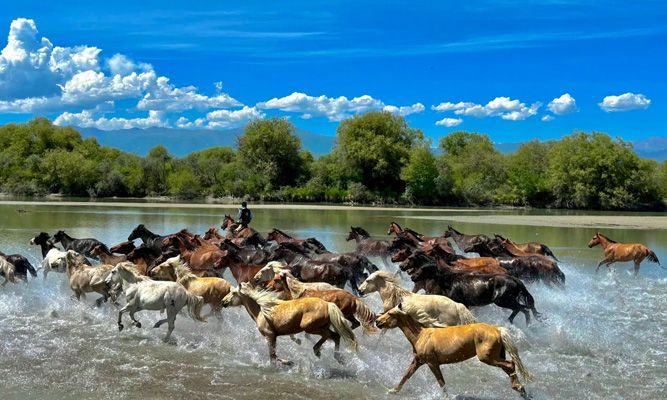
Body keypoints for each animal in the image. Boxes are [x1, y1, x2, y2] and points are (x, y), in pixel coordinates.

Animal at [221, 283, 357, 365]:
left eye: (234, 293)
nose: (223, 301)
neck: (262, 311)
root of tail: (328, 304)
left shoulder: (270, 335)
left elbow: (273, 355)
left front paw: (288, 362)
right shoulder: (273, 336)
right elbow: (273, 355)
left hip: (310, 328)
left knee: (331, 336)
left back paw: (323, 353)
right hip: (321, 327)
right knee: (335, 336)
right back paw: (331, 356)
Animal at [375, 304, 532, 397]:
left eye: (390, 314)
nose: (377, 322)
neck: (421, 336)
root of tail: (497, 329)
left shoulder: (432, 363)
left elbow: (441, 382)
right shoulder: (418, 361)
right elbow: (406, 375)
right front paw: (393, 391)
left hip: (487, 357)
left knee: (510, 364)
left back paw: (519, 388)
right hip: (496, 356)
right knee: (509, 367)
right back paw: (521, 390)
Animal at [405, 261, 541, 325]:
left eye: (422, 269)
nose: (412, 277)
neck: (448, 280)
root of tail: (516, 280)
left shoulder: (462, 303)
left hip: (502, 300)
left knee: (523, 309)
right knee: (523, 309)